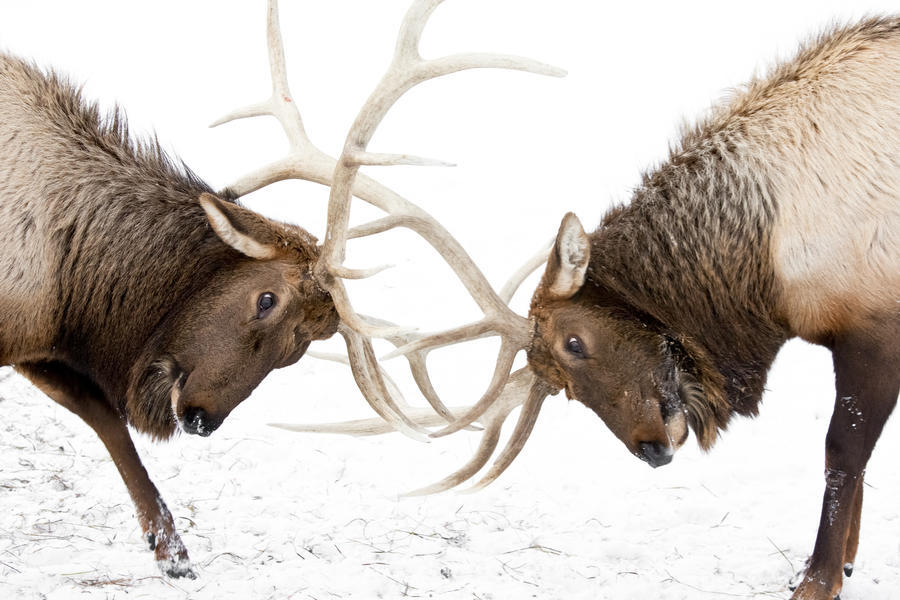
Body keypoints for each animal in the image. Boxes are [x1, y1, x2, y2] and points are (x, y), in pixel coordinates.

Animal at [0, 0, 562, 579]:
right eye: (265, 299)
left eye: (301, 347)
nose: (201, 419)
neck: (68, 290)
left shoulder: (37, 345)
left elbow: (104, 417)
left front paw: (173, 551)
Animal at [274, 13, 900, 600]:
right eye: (563, 387)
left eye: (574, 341)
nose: (652, 450)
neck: (767, 271)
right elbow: (855, 460)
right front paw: (842, 564)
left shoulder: (873, 329)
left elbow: (842, 454)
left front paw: (818, 578)